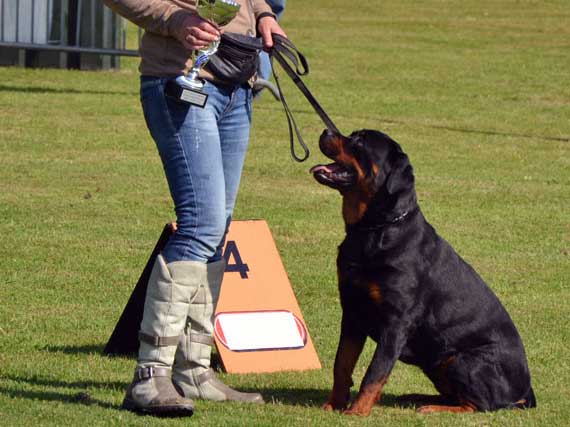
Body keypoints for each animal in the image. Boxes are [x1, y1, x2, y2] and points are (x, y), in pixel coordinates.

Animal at [308, 129, 536, 416]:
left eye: (359, 141)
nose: (326, 130)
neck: (373, 230)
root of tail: (526, 390)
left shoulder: (396, 323)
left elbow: (375, 372)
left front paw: (357, 412)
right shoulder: (352, 312)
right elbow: (342, 364)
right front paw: (334, 405)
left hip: (462, 359)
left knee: (478, 405)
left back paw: (431, 408)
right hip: (437, 364)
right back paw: (414, 397)